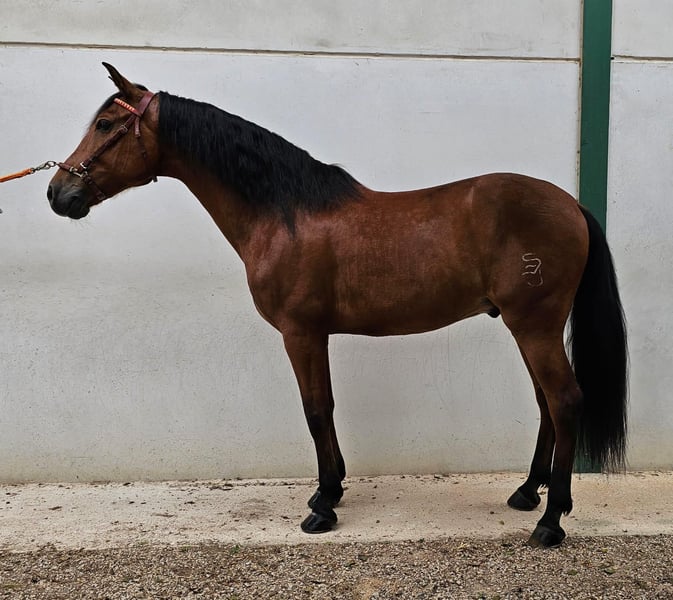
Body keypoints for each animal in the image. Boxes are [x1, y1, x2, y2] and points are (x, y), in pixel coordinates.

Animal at [47, 63, 627, 548]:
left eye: (105, 124)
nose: (57, 193)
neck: (283, 213)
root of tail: (572, 205)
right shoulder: (314, 334)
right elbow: (322, 408)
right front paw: (332, 491)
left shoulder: (301, 333)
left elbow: (315, 409)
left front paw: (323, 506)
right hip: (526, 327)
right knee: (546, 403)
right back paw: (527, 493)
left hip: (535, 326)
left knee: (565, 400)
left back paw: (550, 521)